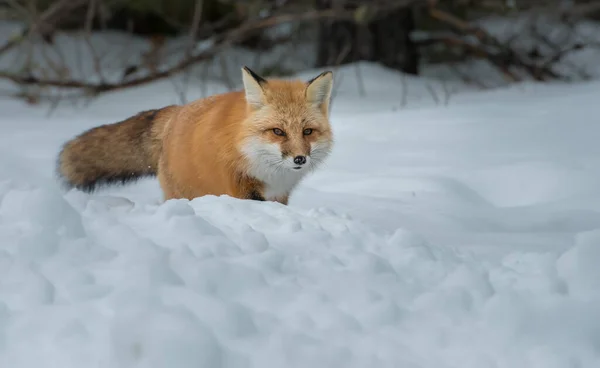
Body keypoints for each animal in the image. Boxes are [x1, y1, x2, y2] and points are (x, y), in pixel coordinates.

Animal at [57, 66, 332, 204]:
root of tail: (175, 111)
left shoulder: (280, 195)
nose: (300, 159)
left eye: (307, 132)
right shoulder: (240, 187)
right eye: (278, 131)